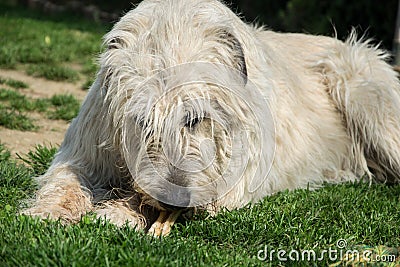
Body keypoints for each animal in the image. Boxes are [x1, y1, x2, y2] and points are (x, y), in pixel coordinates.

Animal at [22, 0, 400, 237]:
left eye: (194, 117)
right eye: (142, 121)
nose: (172, 198)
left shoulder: (233, 181)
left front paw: (119, 212)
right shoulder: (88, 145)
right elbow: (68, 178)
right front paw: (49, 212)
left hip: (361, 90)